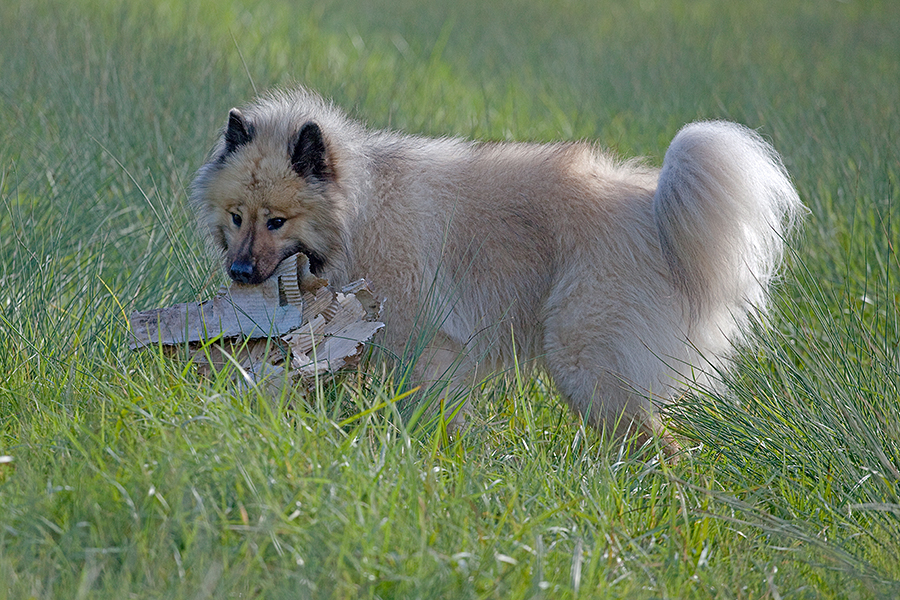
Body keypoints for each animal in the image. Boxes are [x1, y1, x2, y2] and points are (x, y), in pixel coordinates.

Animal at [190, 88, 800, 446]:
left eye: (277, 222)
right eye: (237, 217)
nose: (239, 274)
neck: (359, 209)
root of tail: (652, 209)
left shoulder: (426, 346)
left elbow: (428, 408)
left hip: (583, 360)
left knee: (657, 443)